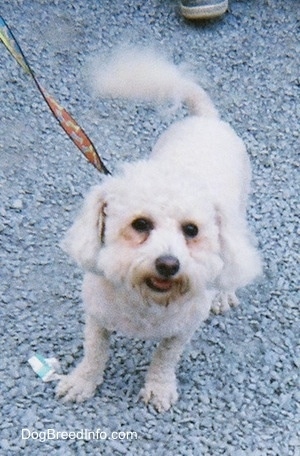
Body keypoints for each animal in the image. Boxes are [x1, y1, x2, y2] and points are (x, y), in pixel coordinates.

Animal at [55, 48, 260, 412]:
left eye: (191, 230)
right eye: (140, 224)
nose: (168, 264)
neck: (147, 300)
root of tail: (206, 118)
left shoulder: (183, 328)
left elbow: (165, 358)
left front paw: (159, 389)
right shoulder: (96, 316)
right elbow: (94, 352)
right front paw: (82, 382)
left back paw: (224, 293)